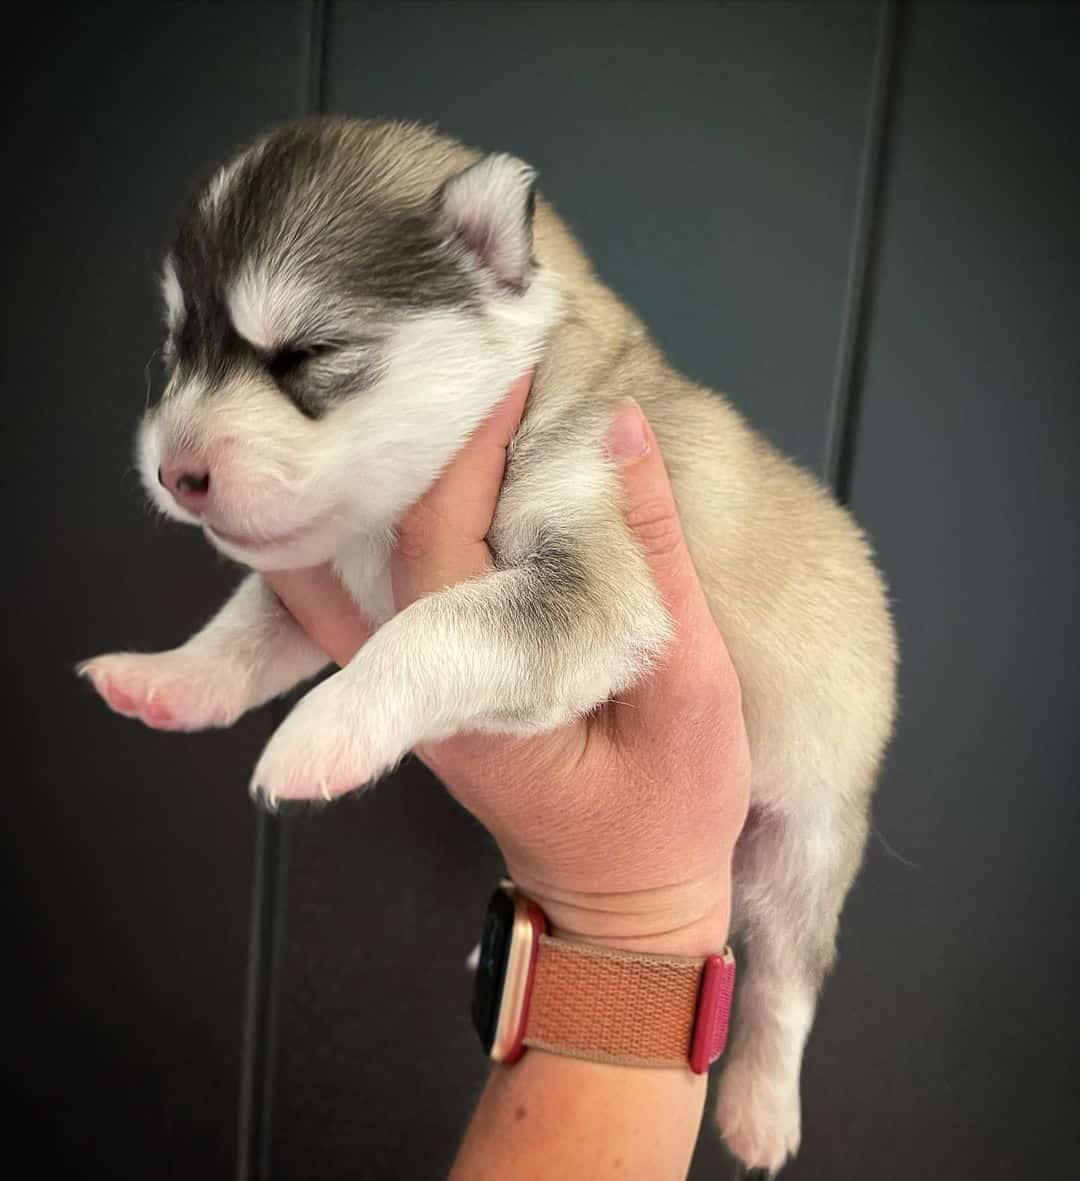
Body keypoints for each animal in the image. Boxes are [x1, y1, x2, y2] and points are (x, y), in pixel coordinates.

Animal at [79, 119, 898, 1171]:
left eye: (308, 352)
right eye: (175, 349)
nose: (172, 472)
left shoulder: (591, 580)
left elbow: (432, 626)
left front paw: (323, 730)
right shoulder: (327, 579)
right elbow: (246, 626)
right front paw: (166, 678)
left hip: (808, 835)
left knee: (787, 978)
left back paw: (762, 1105)